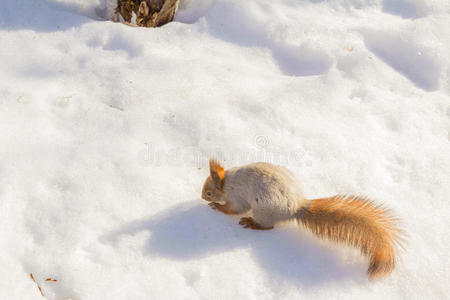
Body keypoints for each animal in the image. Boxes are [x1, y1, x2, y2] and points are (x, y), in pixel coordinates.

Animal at [202, 159, 402, 278]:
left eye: (209, 192)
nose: (203, 197)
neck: (225, 183)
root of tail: (297, 207)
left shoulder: (236, 196)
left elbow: (234, 209)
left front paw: (217, 207)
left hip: (263, 211)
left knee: (268, 227)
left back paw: (251, 223)